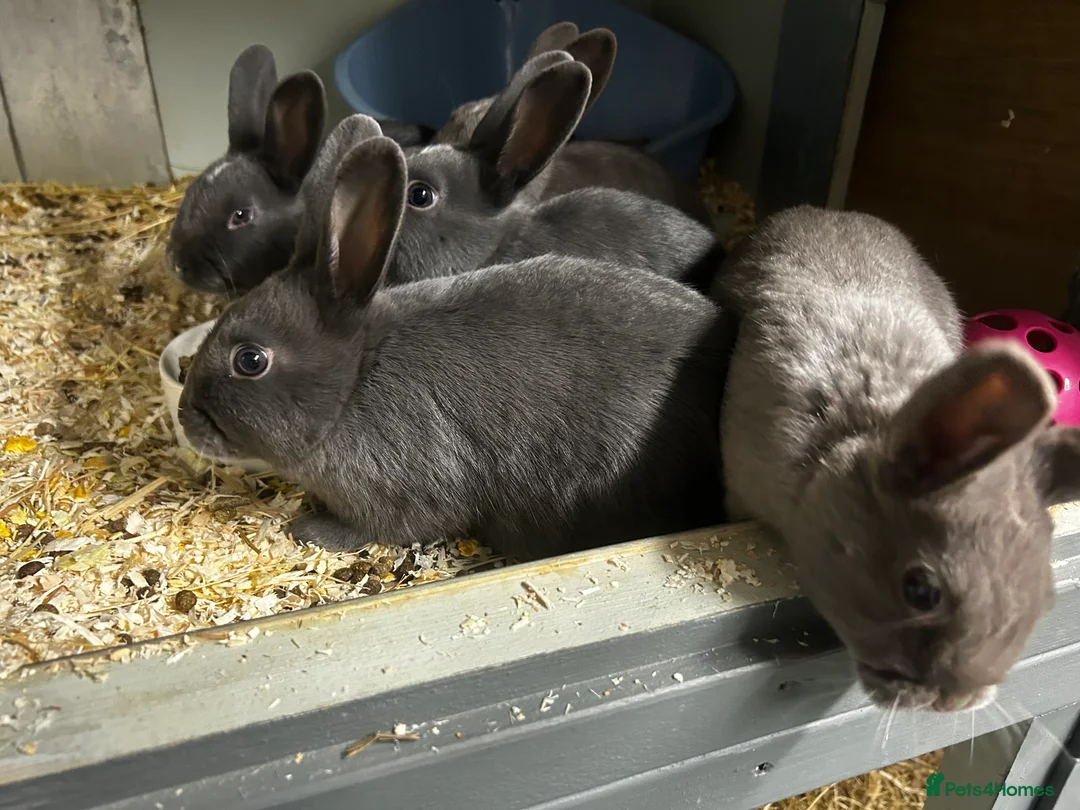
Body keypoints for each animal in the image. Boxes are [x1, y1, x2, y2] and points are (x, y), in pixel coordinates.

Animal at [176, 127, 731, 563]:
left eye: (251, 360)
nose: (184, 415)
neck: (353, 382)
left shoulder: (401, 490)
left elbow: (381, 527)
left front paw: (308, 529)